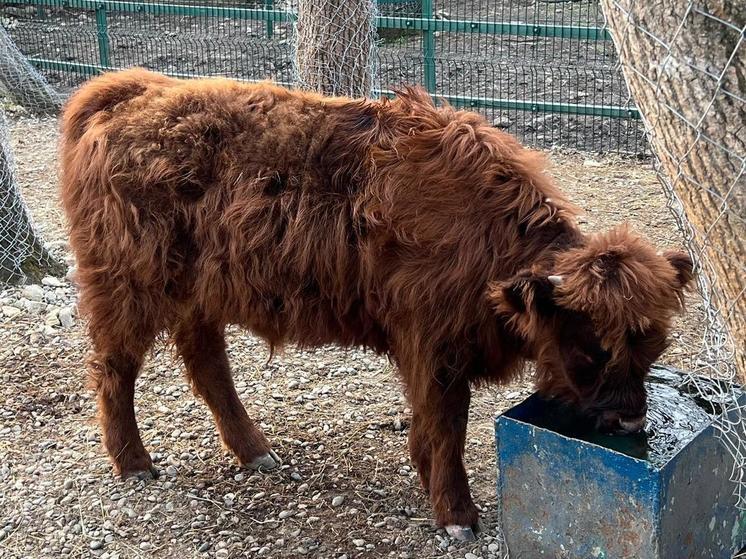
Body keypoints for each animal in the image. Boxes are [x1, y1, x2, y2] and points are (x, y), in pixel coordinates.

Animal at [59, 68, 692, 540]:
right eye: (589, 347)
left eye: (652, 345)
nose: (632, 419)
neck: (485, 233)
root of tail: (130, 93)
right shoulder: (434, 350)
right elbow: (447, 423)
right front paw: (457, 516)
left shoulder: (429, 353)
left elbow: (430, 423)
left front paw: (429, 481)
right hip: (128, 290)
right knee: (114, 369)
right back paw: (136, 465)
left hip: (199, 296)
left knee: (207, 364)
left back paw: (256, 453)